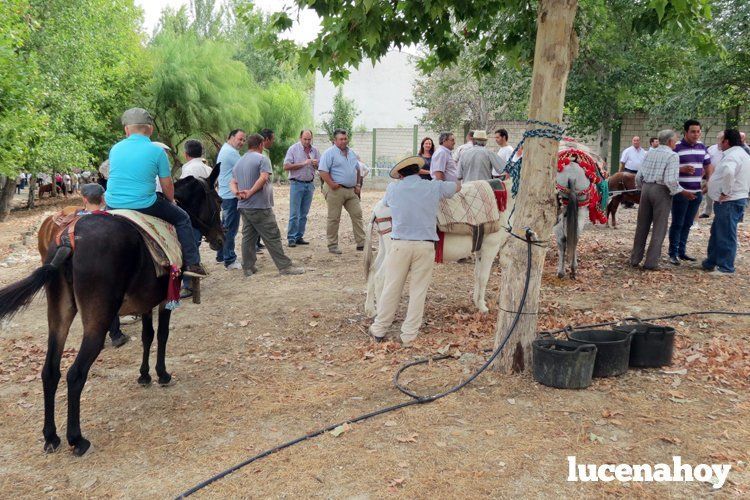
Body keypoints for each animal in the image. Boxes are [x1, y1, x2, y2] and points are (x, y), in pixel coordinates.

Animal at [0, 169, 223, 458]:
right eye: (218, 201)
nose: (221, 239)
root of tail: (68, 240)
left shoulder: (145, 301)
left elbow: (147, 336)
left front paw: (144, 375)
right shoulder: (164, 299)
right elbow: (162, 335)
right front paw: (161, 374)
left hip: (59, 315)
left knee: (50, 371)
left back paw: (51, 436)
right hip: (98, 320)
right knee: (75, 374)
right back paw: (76, 439)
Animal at [362, 188, 516, 316]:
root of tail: (379, 207)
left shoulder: (479, 251)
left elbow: (477, 275)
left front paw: (478, 302)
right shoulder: (491, 248)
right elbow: (484, 278)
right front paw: (482, 308)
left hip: (385, 247)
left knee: (373, 270)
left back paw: (370, 310)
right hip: (395, 252)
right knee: (380, 277)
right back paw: (381, 311)